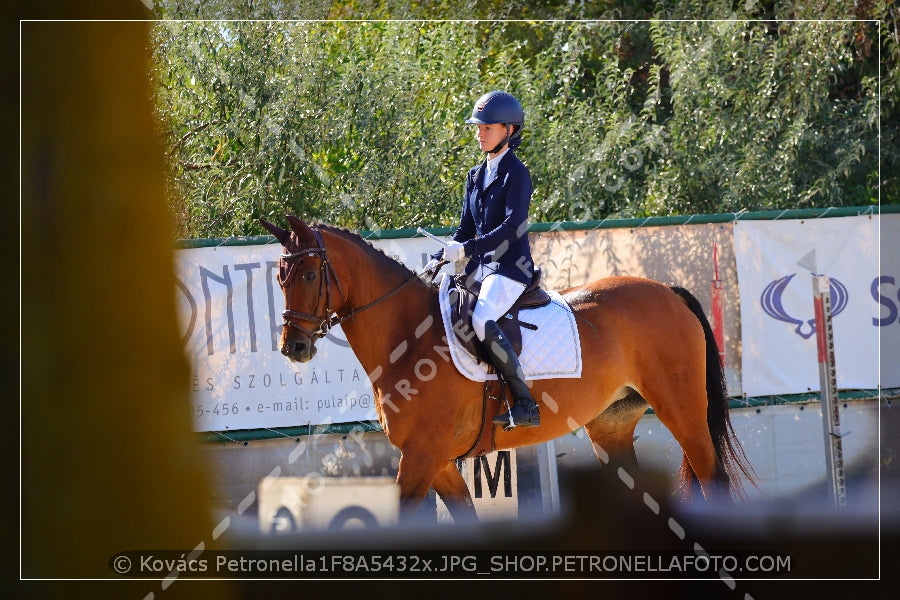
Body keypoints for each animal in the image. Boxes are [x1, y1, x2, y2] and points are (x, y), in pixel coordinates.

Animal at [262, 218, 760, 524]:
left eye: (309, 275)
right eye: (280, 277)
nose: (294, 347)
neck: (407, 334)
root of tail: (669, 292)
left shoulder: (422, 455)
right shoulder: (436, 461)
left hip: (684, 414)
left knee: (712, 478)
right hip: (612, 427)